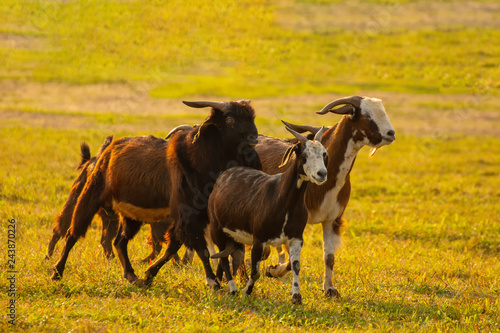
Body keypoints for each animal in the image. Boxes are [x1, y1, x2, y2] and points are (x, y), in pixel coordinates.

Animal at [51, 98, 262, 288]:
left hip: (131, 215)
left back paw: (132, 276)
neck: (199, 158)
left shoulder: (195, 216)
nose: (254, 138)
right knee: (72, 233)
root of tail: (107, 150)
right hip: (90, 196)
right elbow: (199, 247)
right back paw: (57, 272)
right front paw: (212, 281)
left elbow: (173, 246)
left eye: (252, 117)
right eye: (230, 119)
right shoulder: (187, 214)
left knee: (119, 241)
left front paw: (148, 275)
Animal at [207, 122, 328, 304]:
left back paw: (218, 284)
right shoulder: (259, 239)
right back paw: (232, 289)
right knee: (223, 258)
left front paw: (296, 296)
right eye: (304, 155)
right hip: (217, 228)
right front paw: (246, 291)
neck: (281, 198)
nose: (322, 174)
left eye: (324, 154)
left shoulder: (296, 238)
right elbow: (256, 271)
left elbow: (296, 266)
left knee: (224, 257)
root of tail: (223, 177)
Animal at [256, 95, 396, 296]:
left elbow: (329, 257)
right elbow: (291, 261)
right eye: (366, 115)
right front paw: (273, 270)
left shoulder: (332, 219)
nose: (391, 133)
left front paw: (329, 289)